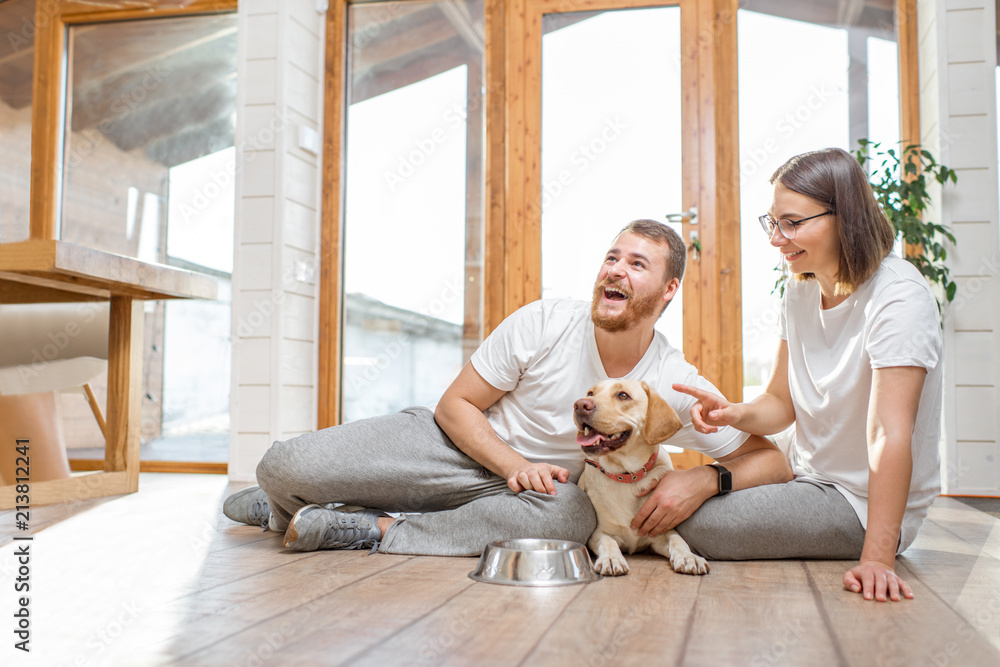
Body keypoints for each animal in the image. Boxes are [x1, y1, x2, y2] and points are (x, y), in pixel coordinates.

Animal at [576, 380, 708, 580]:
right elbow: (608, 541)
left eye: (623, 395)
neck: (627, 476)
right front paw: (611, 559)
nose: (579, 405)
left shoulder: (661, 533)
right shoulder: (599, 533)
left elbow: (678, 539)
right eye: (590, 393)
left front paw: (688, 557)